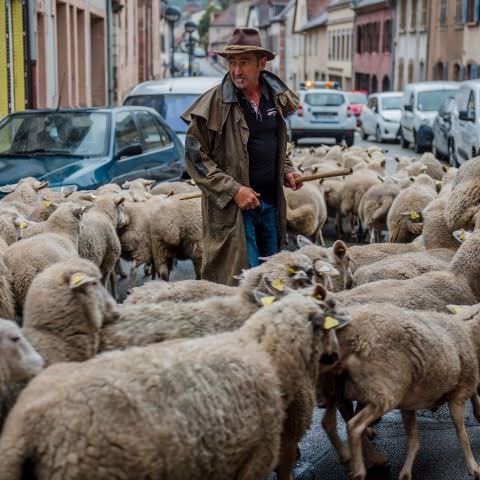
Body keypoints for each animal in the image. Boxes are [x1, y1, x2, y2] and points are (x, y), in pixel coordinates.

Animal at [328, 304, 480, 480]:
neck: (468, 332)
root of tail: (351, 336)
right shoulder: (458, 394)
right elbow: (462, 434)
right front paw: (473, 466)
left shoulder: (409, 405)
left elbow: (414, 439)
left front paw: (406, 471)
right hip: (385, 391)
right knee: (354, 425)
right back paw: (359, 469)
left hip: (345, 388)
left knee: (339, 420)